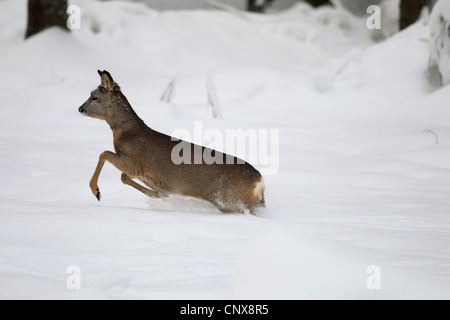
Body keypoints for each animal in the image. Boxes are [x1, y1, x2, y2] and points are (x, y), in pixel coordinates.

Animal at [79, 70, 266, 215]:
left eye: (94, 97)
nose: (80, 108)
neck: (127, 133)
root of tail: (259, 182)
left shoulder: (134, 162)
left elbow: (105, 155)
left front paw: (96, 191)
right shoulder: (140, 171)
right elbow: (124, 176)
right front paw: (160, 194)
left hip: (230, 201)